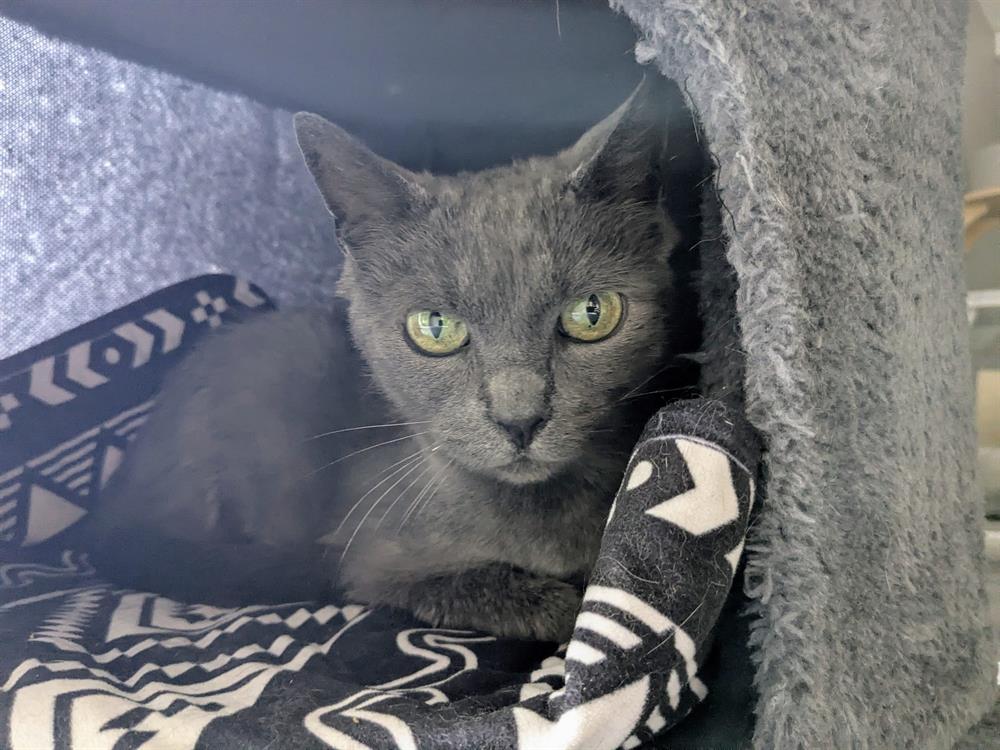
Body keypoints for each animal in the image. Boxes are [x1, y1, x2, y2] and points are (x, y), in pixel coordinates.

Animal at [83, 74, 688, 642]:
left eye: (592, 313)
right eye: (435, 327)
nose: (520, 419)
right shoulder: (372, 551)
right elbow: (445, 582)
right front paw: (560, 605)